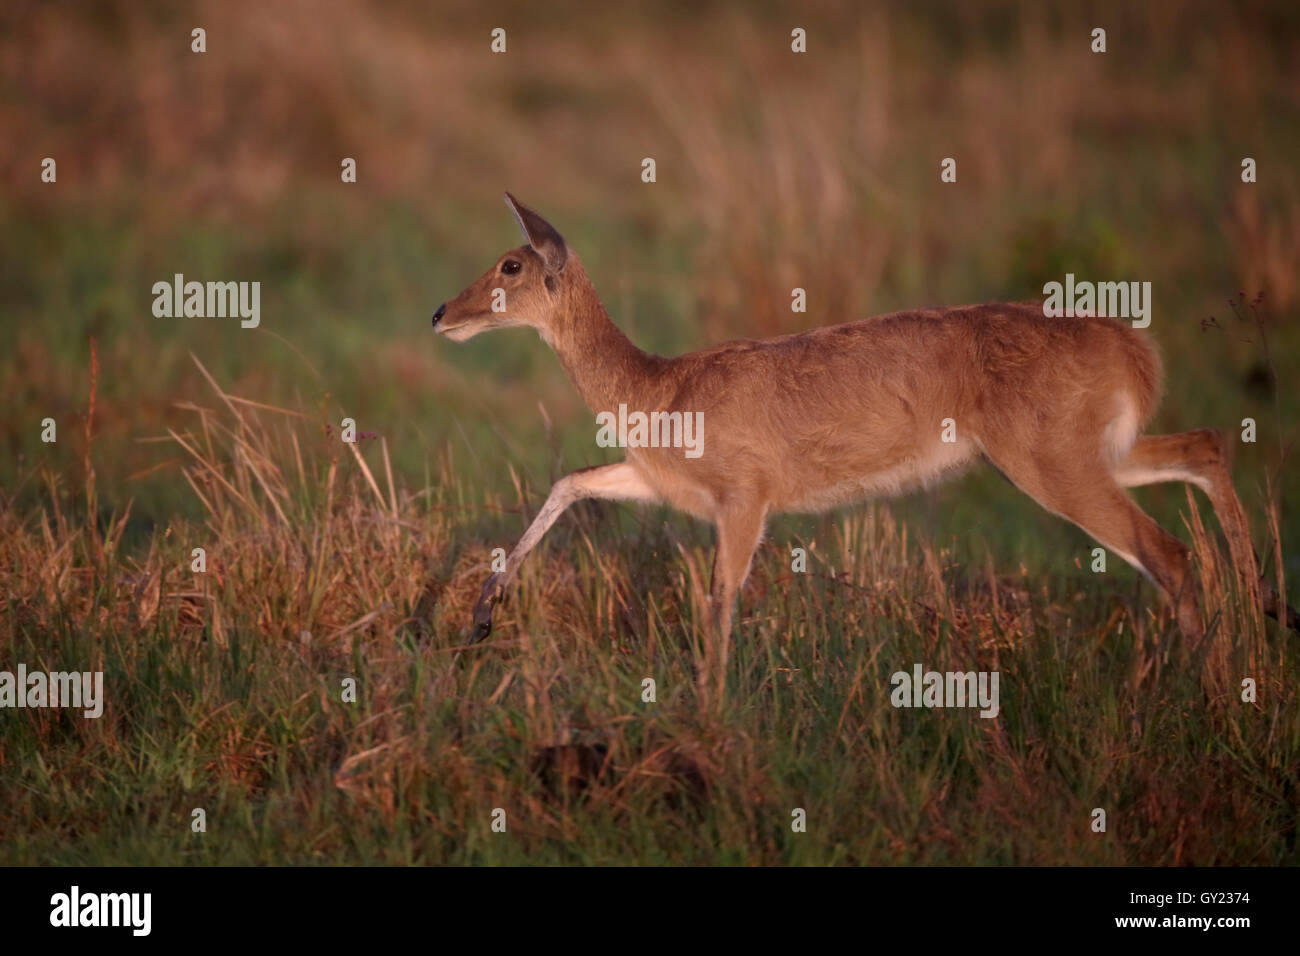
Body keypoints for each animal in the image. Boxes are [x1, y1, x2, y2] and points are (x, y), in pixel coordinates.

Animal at [434, 192, 1258, 642]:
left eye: (512, 264)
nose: (441, 312)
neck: (661, 387)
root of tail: (1130, 343)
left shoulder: (745, 502)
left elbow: (718, 604)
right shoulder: (665, 485)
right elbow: (572, 480)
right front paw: (481, 614)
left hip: (1055, 469)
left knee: (1172, 553)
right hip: (1098, 454)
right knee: (1208, 448)